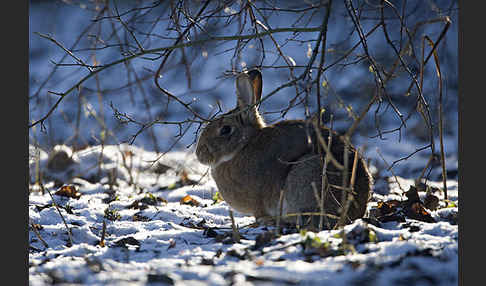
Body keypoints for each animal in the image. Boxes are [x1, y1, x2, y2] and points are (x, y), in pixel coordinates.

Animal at [196, 69, 370, 230]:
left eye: (225, 130)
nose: (199, 154)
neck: (243, 146)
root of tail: (355, 208)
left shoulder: (259, 203)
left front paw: (259, 222)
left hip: (308, 173)